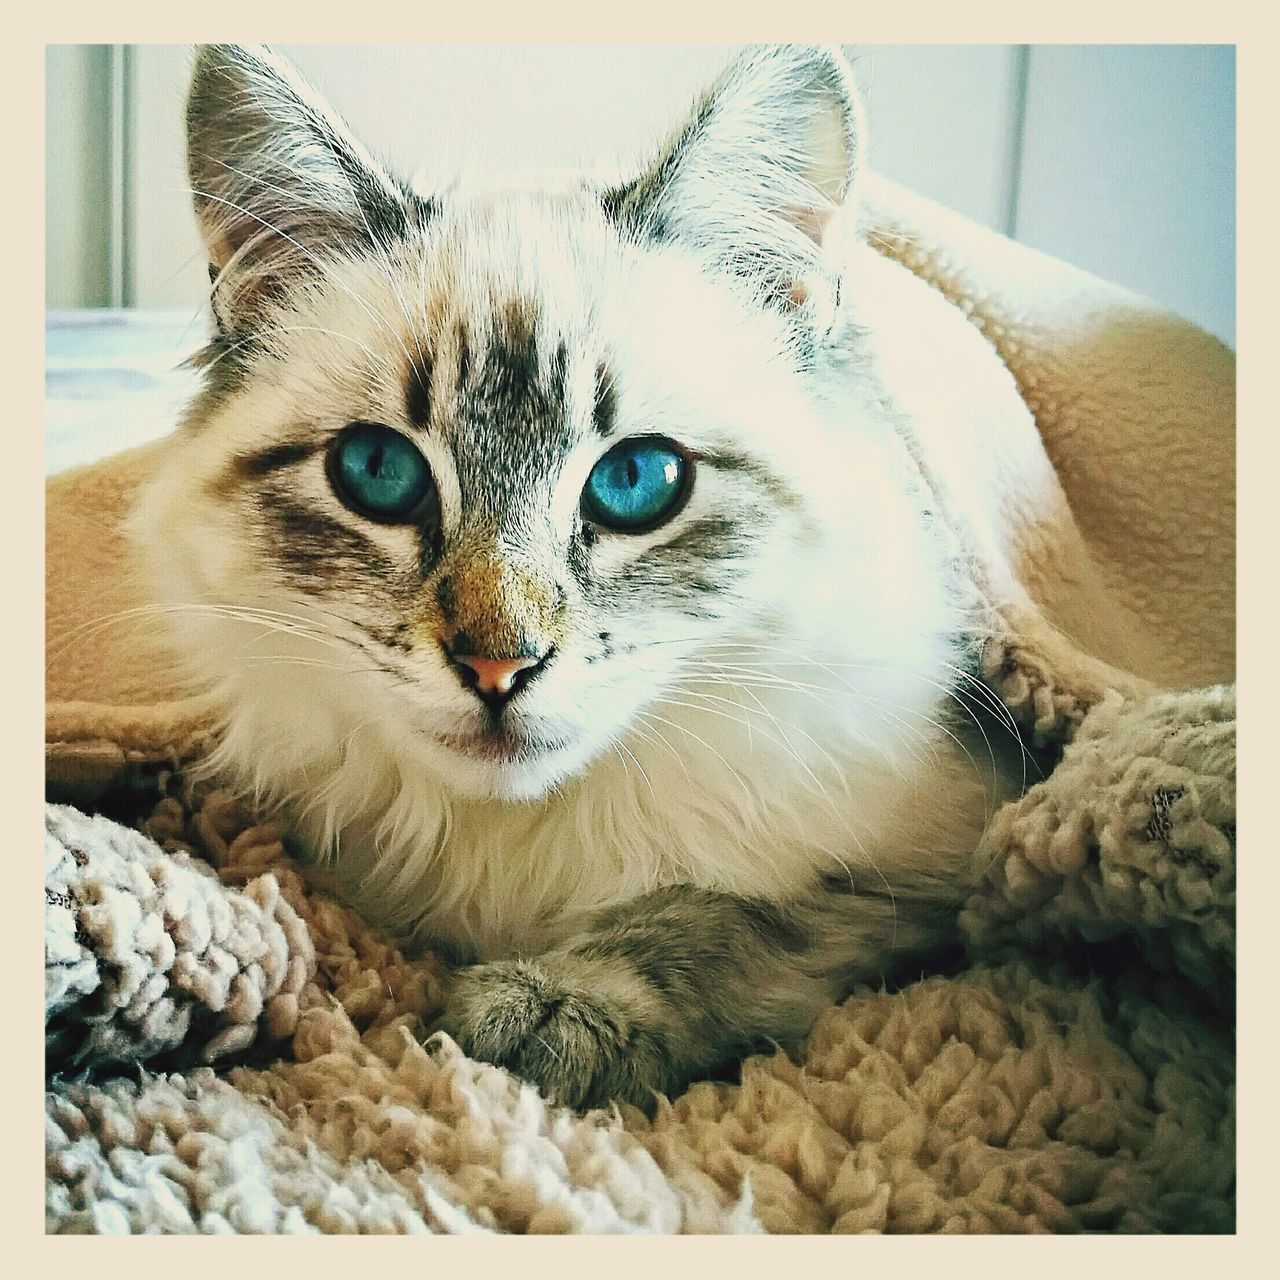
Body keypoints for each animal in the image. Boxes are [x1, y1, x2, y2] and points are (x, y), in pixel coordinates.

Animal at [129, 45, 1024, 1111]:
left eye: (637, 481)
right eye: (378, 473)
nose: (497, 668)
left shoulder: (938, 868)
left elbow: (722, 916)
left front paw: (540, 1015)